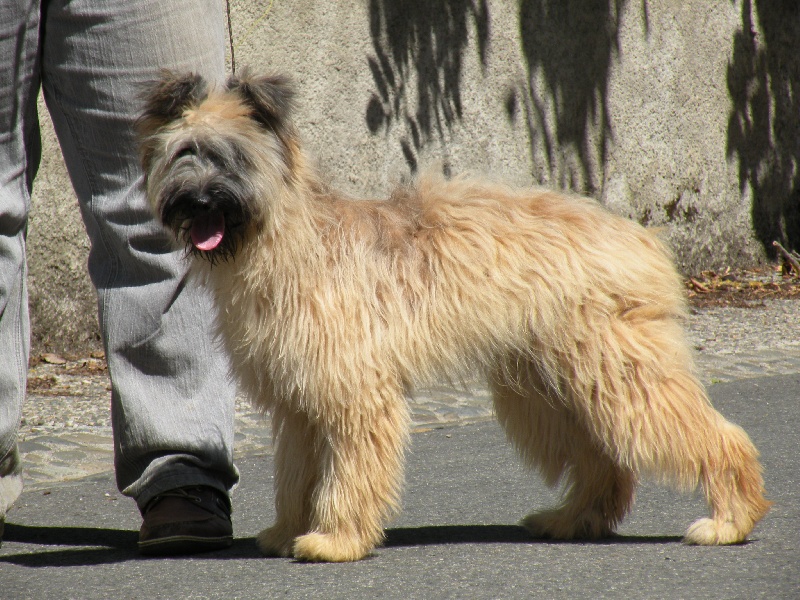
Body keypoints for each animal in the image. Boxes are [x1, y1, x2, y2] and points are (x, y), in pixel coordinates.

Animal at [136, 69, 768, 564]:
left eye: (230, 157)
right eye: (182, 154)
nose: (198, 202)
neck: (285, 239)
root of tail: (638, 234)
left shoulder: (353, 392)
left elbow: (348, 471)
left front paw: (335, 538)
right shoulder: (300, 403)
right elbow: (295, 473)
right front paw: (288, 529)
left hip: (617, 373)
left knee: (713, 435)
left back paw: (729, 519)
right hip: (547, 390)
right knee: (603, 463)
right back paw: (571, 520)